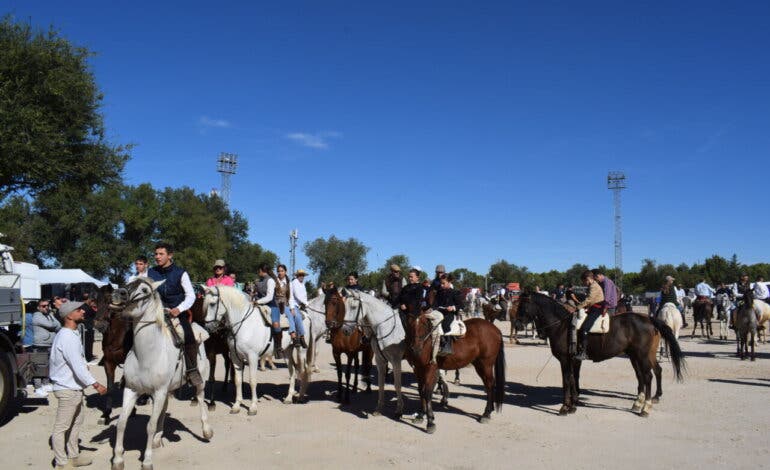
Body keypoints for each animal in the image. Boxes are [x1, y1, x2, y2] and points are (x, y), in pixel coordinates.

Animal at [110, 278, 213, 470]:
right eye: (128, 281)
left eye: (144, 289)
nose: (117, 293)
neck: (146, 355)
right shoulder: (132, 390)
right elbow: (121, 422)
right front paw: (118, 460)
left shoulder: (158, 392)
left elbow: (150, 425)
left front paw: (147, 461)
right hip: (166, 391)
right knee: (163, 410)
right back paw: (158, 439)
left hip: (200, 382)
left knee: (201, 399)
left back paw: (206, 431)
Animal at [516, 292, 685, 417]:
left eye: (522, 305)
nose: (517, 325)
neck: (562, 326)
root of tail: (649, 319)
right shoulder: (573, 360)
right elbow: (573, 379)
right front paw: (573, 406)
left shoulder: (564, 360)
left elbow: (566, 381)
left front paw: (565, 407)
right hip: (637, 355)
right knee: (648, 374)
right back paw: (640, 403)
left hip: (642, 355)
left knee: (648, 376)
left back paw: (645, 407)